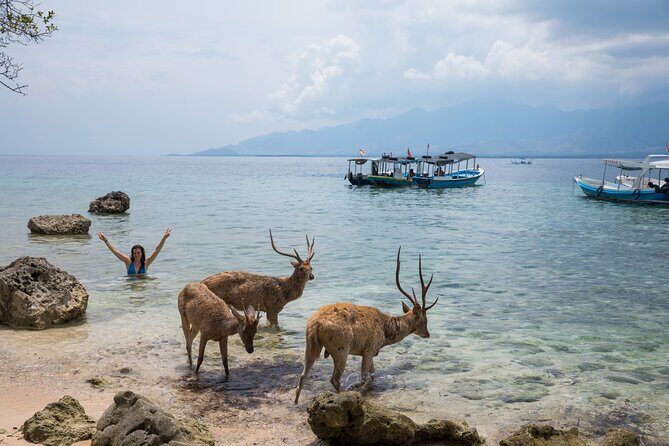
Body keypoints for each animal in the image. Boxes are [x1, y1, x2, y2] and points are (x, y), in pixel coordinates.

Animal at [294, 246, 438, 404]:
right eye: (425, 321)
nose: (428, 334)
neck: (386, 334)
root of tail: (315, 324)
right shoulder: (370, 348)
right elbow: (365, 378)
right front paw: (354, 387)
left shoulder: (370, 351)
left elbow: (373, 376)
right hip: (341, 347)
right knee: (335, 379)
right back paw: (343, 395)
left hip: (310, 345)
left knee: (302, 376)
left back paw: (296, 402)